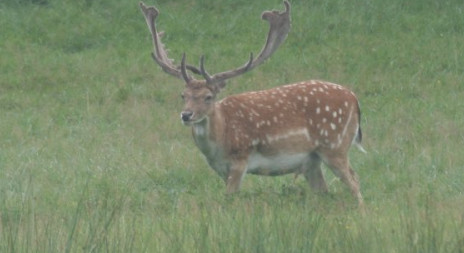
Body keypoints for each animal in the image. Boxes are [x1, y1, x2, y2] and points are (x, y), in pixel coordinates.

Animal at [138, 0, 366, 206]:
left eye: (208, 96)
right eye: (183, 95)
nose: (186, 115)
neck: (221, 138)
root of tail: (354, 99)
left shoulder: (241, 158)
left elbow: (229, 198)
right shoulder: (222, 169)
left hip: (335, 145)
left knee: (355, 181)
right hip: (312, 160)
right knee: (324, 190)